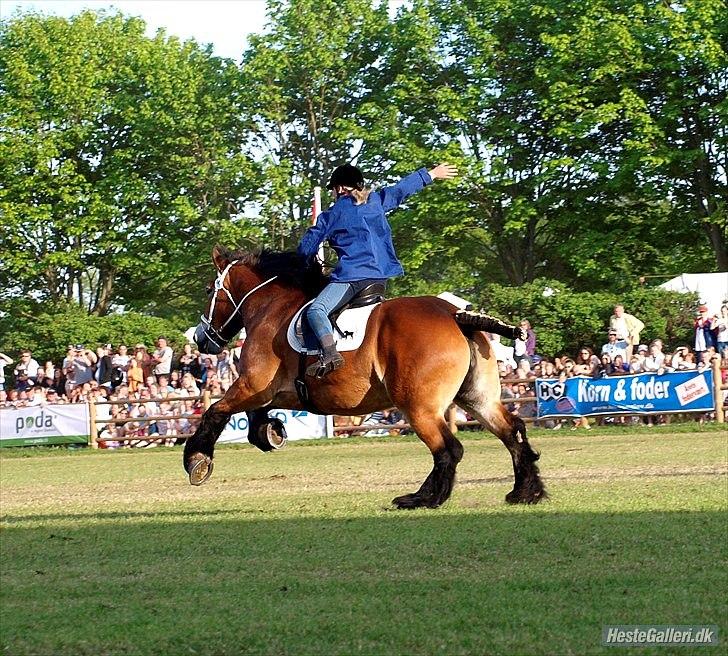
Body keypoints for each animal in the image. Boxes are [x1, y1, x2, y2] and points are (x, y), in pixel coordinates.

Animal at [183, 246, 544, 508]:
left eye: (209, 290)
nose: (201, 339)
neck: (274, 307)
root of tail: (455, 315)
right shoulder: (274, 391)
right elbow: (255, 412)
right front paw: (268, 432)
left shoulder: (252, 384)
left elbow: (215, 411)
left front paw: (197, 460)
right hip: (477, 399)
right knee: (512, 431)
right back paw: (526, 491)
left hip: (419, 408)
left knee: (448, 449)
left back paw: (423, 499)